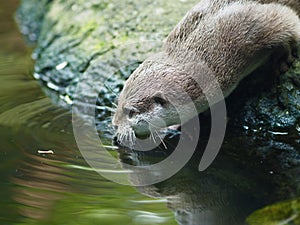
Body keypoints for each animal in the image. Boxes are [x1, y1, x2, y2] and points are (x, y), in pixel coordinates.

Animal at [112, 0, 300, 147]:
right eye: (119, 101)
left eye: (130, 112)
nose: (114, 125)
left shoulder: (247, 28)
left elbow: (287, 20)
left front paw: (282, 59)